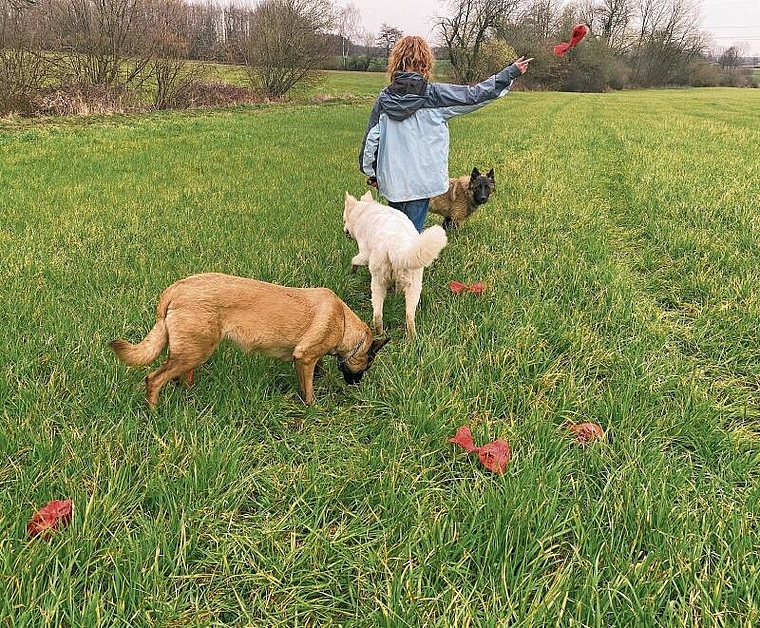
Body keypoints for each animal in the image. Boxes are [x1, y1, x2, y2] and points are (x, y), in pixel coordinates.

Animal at [110, 274, 388, 408]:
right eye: (367, 365)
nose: (356, 387)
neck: (344, 324)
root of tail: (175, 289)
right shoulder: (305, 357)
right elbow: (308, 391)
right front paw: (312, 409)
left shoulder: (309, 359)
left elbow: (316, 374)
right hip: (194, 352)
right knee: (154, 379)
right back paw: (154, 411)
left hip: (192, 352)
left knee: (180, 378)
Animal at [342, 191, 446, 336]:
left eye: (344, 219)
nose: (344, 230)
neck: (364, 210)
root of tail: (396, 245)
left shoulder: (364, 254)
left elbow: (354, 260)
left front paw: (352, 271)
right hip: (414, 286)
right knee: (409, 317)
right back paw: (412, 337)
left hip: (378, 282)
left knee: (377, 316)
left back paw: (380, 333)